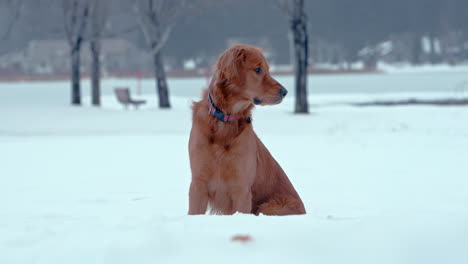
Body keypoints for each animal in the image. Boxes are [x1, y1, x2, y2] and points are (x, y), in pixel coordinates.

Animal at [188, 43, 306, 214]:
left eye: (268, 69)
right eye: (257, 69)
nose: (285, 92)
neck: (225, 120)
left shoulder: (241, 188)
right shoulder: (198, 183)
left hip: (269, 206)